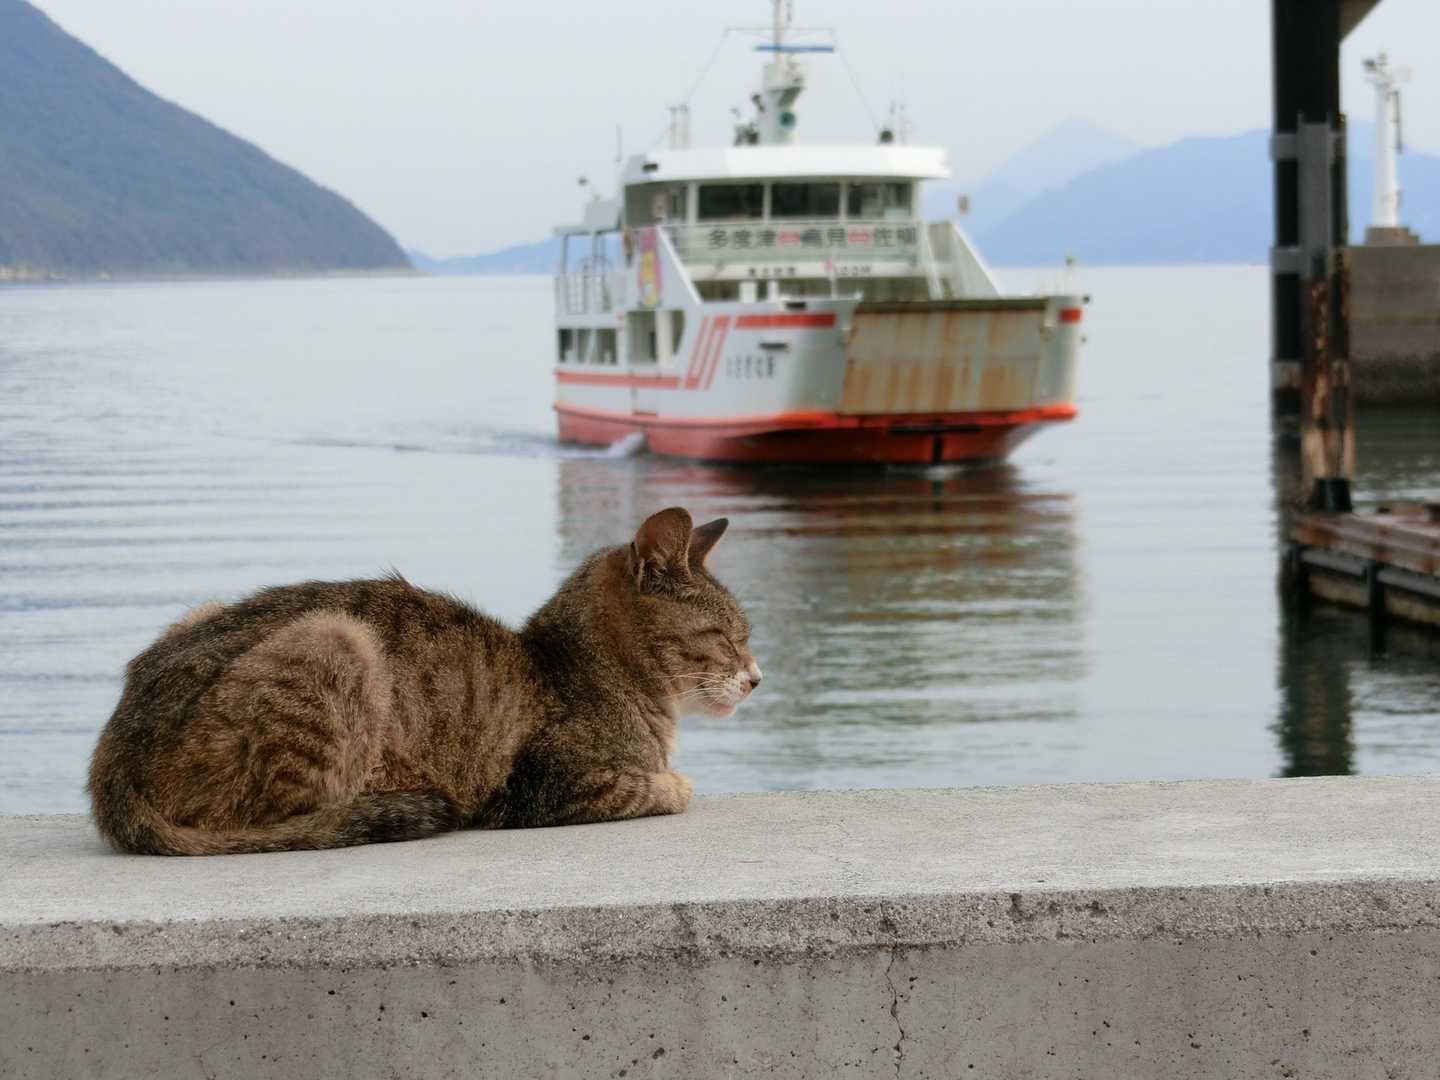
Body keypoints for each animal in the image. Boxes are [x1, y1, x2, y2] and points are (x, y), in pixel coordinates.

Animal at [88, 507, 760, 855]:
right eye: (729, 636)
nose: (757, 677)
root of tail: (109, 761)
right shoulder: (542, 785)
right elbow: (662, 787)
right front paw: (674, 781)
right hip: (338, 638)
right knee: (272, 824)